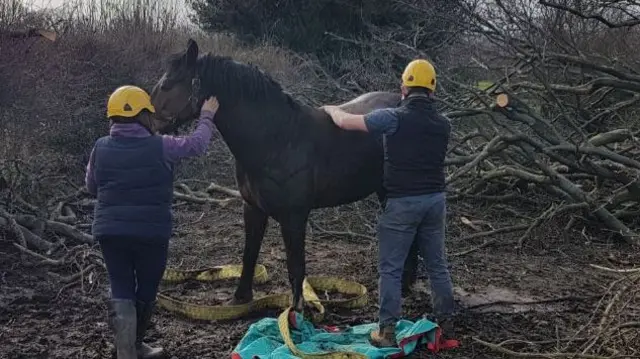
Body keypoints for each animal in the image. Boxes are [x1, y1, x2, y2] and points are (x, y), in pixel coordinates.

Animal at [149, 38, 420, 316]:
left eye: (168, 84)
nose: (149, 124)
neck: (277, 139)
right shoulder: (253, 208)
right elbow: (249, 254)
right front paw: (240, 300)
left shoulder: (294, 216)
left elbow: (295, 265)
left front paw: (296, 311)